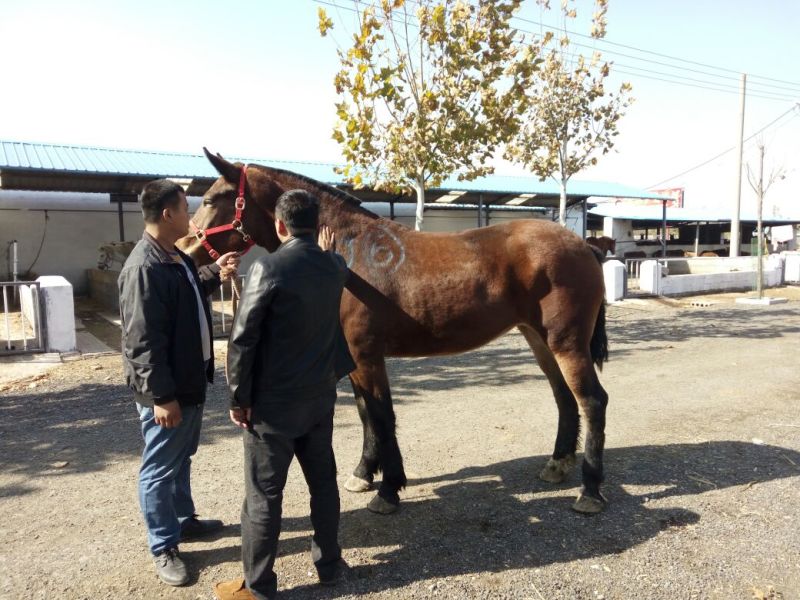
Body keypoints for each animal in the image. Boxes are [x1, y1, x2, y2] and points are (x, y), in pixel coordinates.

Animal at [178, 149, 611, 515]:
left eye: (213, 199)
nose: (186, 247)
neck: (348, 254)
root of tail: (582, 245)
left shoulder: (367, 356)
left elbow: (382, 417)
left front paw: (387, 491)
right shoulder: (353, 359)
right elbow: (367, 415)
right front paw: (363, 475)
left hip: (566, 343)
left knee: (592, 401)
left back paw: (589, 491)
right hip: (539, 339)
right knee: (564, 398)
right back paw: (557, 464)